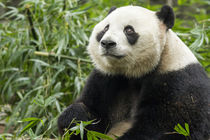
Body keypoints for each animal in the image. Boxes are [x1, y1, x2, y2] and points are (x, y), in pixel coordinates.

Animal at [57, 4, 210, 139]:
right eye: (105, 28)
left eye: (129, 30)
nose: (107, 43)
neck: (133, 73)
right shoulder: (106, 76)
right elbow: (90, 116)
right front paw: (74, 118)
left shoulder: (177, 82)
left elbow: (164, 129)